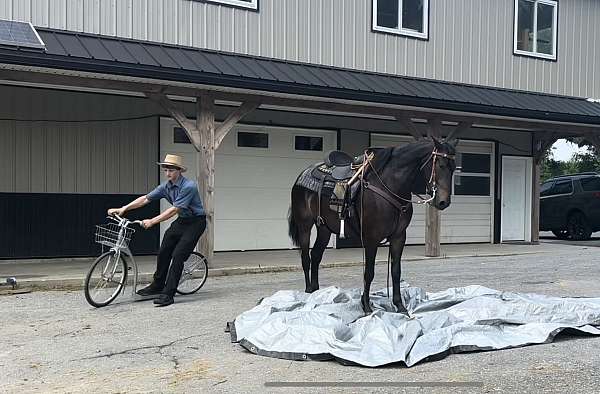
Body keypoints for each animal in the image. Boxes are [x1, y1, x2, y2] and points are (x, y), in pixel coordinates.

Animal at [288, 138, 458, 314]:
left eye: (453, 167)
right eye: (440, 165)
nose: (443, 202)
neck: (389, 185)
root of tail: (303, 174)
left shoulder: (399, 237)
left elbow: (396, 271)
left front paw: (400, 305)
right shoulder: (371, 238)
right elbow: (369, 272)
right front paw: (367, 306)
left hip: (324, 228)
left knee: (316, 255)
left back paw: (316, 292)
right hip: (305, 225)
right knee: (306, 257)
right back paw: (309, 291)